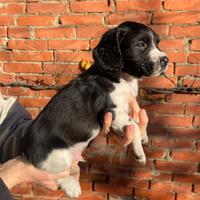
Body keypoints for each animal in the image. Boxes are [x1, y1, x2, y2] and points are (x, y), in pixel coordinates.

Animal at [20, 21, 168, 198]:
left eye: (157, 43)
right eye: (140, 44)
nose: (165, 60)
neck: (121, 77)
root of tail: (24, 150)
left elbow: (137, 119)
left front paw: (144, 137)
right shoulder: (112, 110)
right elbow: (134, 125)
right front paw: (140, 153)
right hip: (56, 153)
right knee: (56, 173)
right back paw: (72, 187)